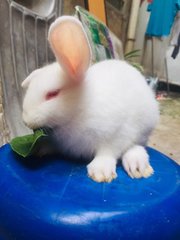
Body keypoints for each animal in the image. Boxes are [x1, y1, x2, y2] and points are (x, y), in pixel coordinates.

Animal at [21, 16, 159, 182]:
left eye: (52, 94)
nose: (26, 121)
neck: (79, 110)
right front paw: (40, 149)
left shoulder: (116, 134)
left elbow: (108, 152)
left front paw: (100, 172)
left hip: (145, 126)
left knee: (137, 146)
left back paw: (139, 166)